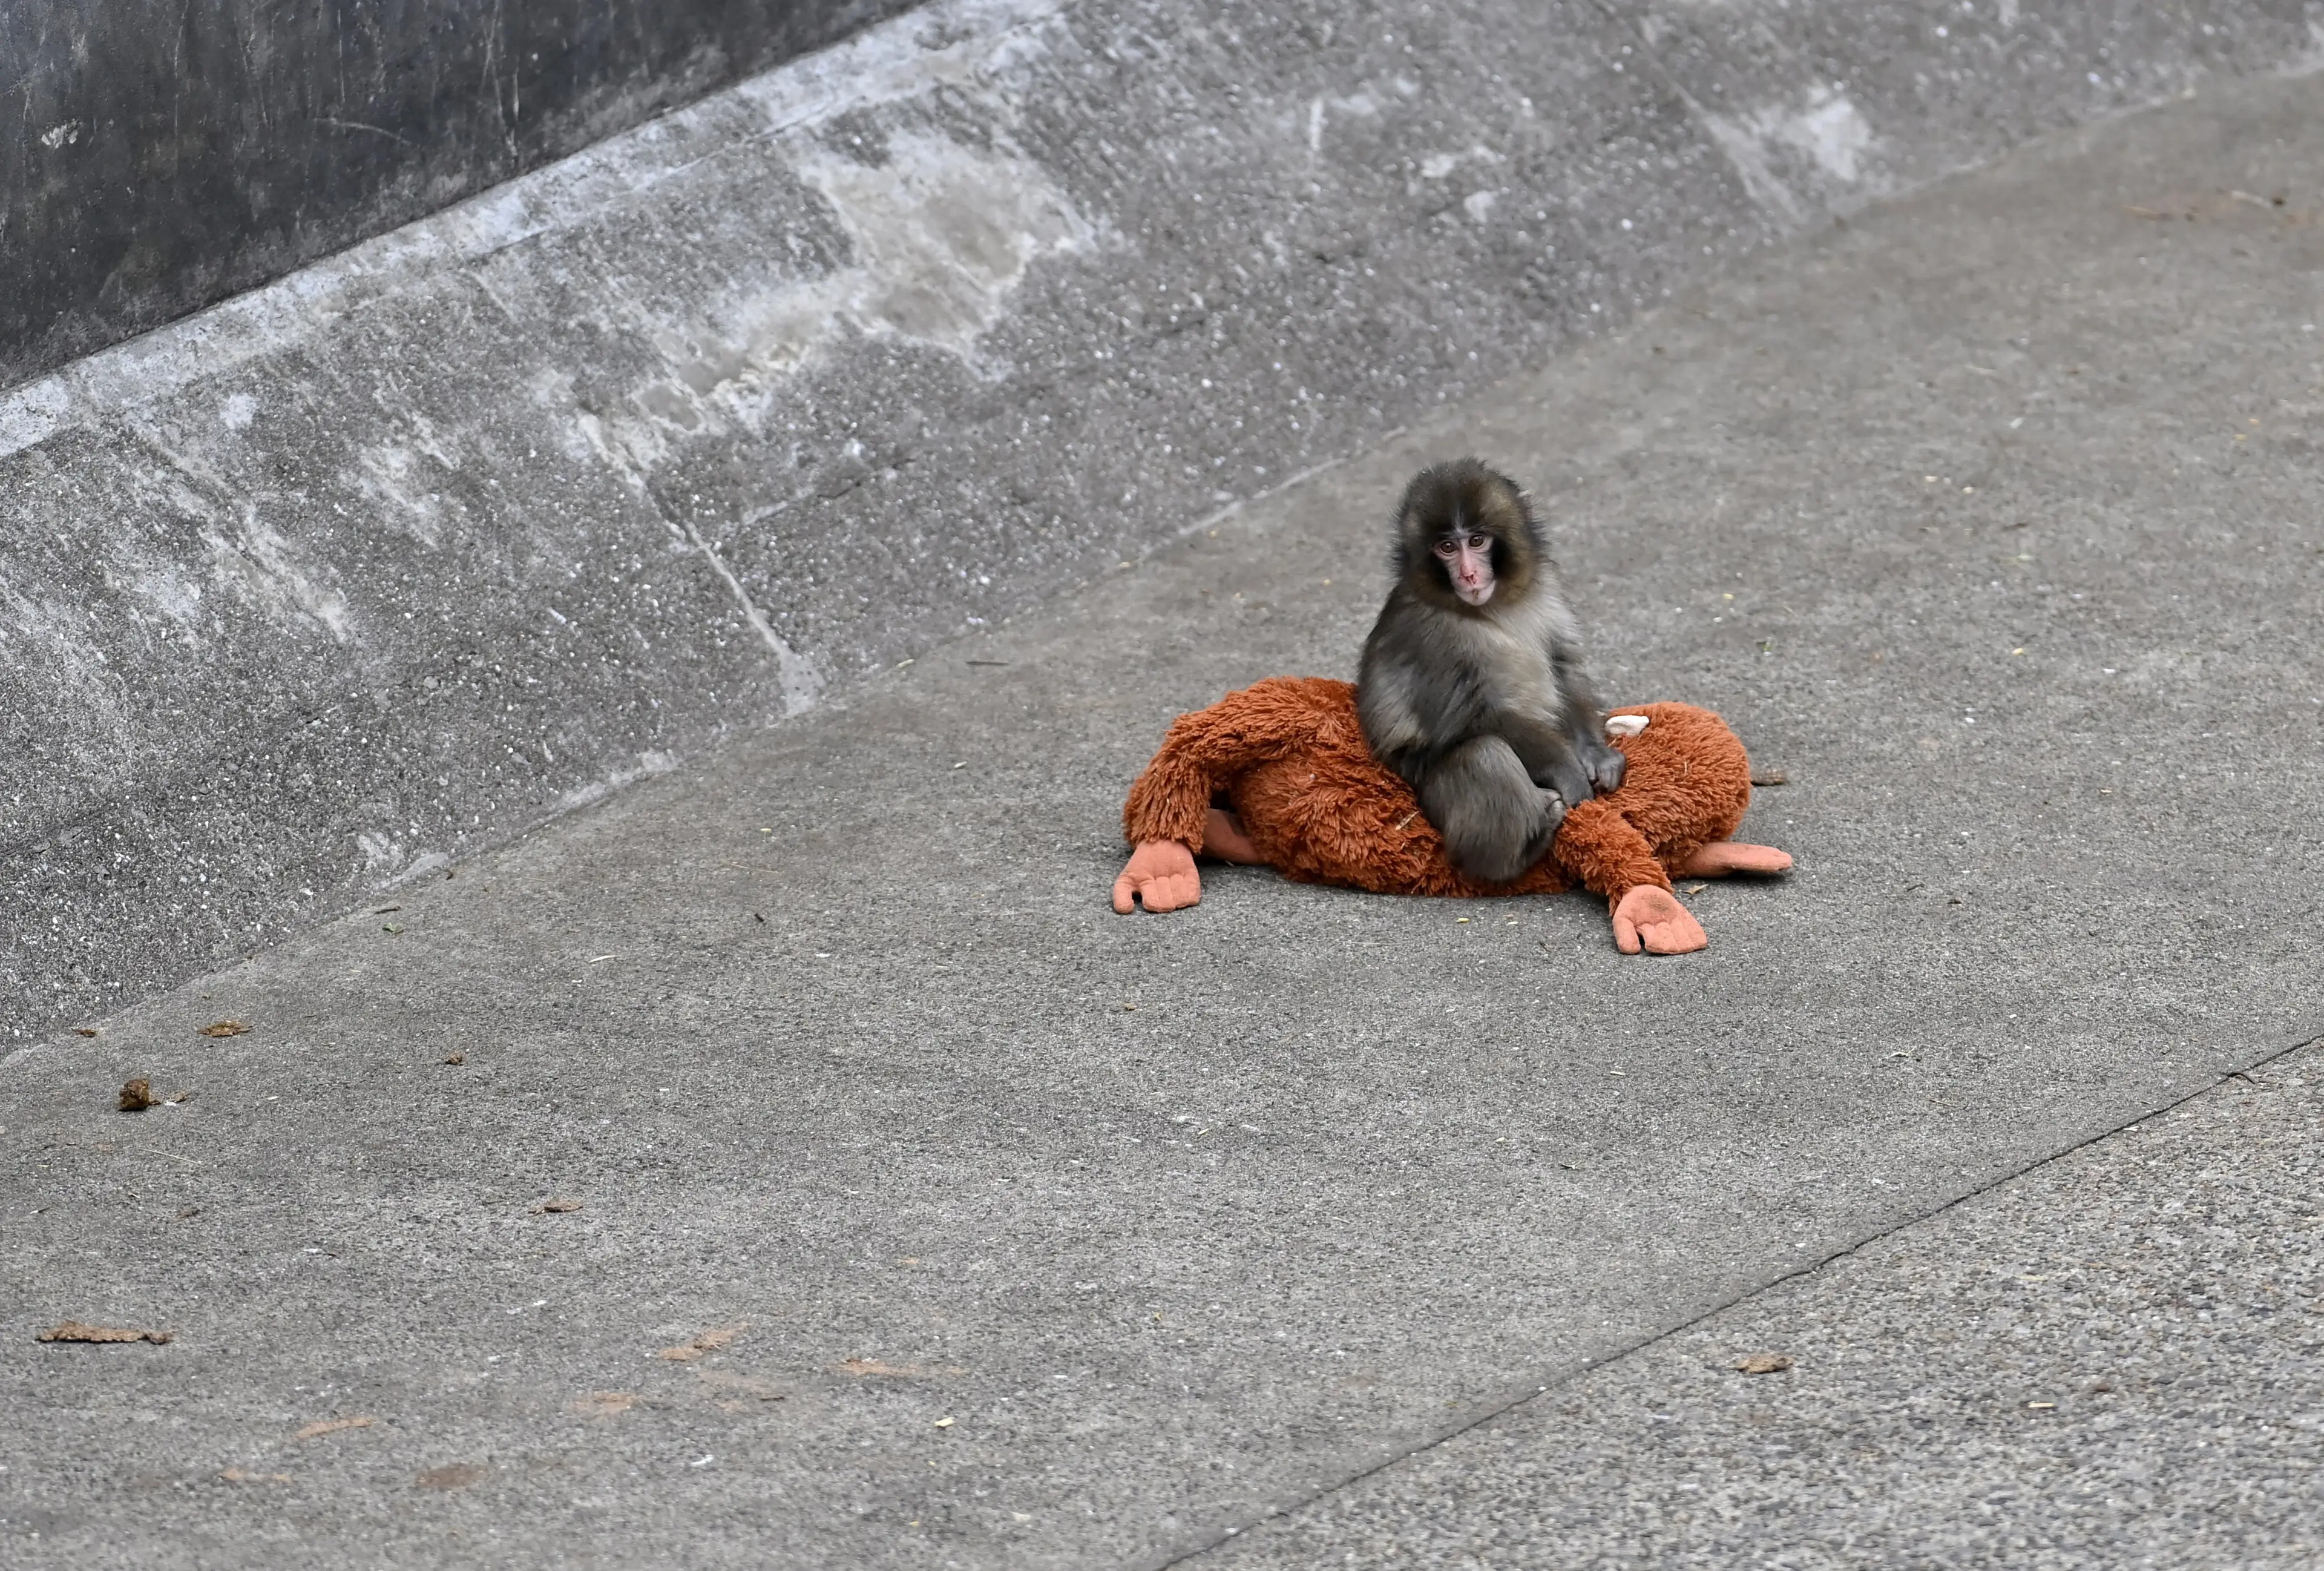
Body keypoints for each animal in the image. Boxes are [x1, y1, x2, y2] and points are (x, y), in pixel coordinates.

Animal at [1356, 458, 1625, 885]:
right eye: (1447, 547)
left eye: (1477, 541)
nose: (1468, 575)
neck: (1489, 607)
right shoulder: (1431, 637)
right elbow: (1478, 717)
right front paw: (1568, 772)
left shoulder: (1545, 586)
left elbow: (1562, 663)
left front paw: (1596, 755)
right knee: (1483, 753)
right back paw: (1517, 854)